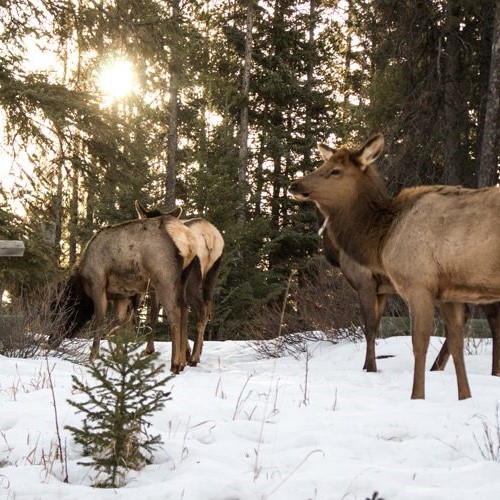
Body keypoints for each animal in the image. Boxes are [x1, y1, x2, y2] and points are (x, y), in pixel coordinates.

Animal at [52, 213, 197, 374]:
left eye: (62, 309)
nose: (51, 340)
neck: (83, 283)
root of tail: (188, 241)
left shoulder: (98, 284)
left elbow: (100, 321)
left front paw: (93, 357)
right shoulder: (122, 295)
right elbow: (118, 324)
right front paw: (119, 356)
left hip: (164, 278)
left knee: (174, 314)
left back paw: (175, 364)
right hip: (183, 279)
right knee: (184, 310)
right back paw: (183, 362)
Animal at [135, 200, 225, 368]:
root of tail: (208, 235)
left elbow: (154, 312)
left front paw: (149, 350)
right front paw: (184, 351)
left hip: (191, 278)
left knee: (198, 308)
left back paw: (193, 358)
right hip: (212, 275)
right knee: (206, 309)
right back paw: (196, 353)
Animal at [290, 135, 500, 400]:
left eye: (335, 170)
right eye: (323, 164)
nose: (294, 185)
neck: (381, 237)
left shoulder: (413, 284)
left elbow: (411, 341)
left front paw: (414, 395)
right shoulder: (448, 291)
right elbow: (456, 342)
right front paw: (465, 397)